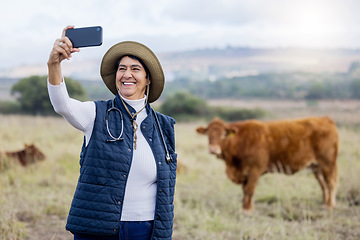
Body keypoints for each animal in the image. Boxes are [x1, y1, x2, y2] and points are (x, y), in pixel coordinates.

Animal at [197, 117, 338, 213]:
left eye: (223, 134)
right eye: (208, 134)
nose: (213, 149)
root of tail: (325, 119)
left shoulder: (255, 170)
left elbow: (249, 189)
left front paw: (247, 210)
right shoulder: (244, 172)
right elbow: (245, 190)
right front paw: (245, 207)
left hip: (327, 164)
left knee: (330, 184)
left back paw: (330, 206)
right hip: (316, 167)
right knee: (323, 185)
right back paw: (324, 204)